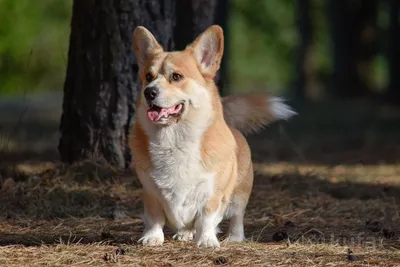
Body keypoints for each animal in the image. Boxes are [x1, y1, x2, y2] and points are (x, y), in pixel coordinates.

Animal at [130, 25, 296, 249]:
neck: (175, 138)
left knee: (237, 218)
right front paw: (152, 238)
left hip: (240, 194)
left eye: (176, 76)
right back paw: (185, 234)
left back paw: (234, 237)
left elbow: (207, 218)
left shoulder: (213, 193)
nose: (149, 92)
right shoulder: (150, 192)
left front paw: (207, 241)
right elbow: (154, 218)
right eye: (148, 76)